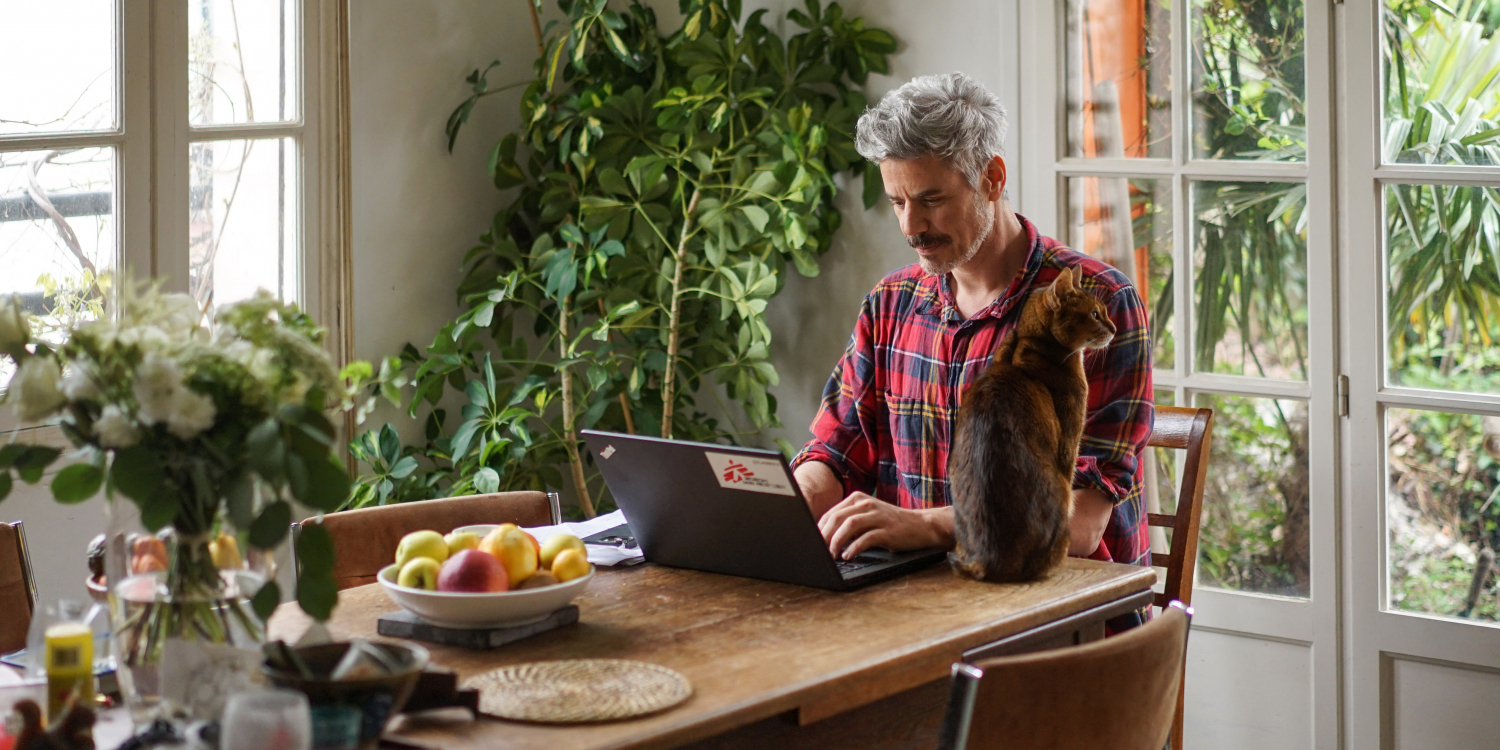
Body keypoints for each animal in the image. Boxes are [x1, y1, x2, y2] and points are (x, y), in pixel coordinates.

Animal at [948, 267, 1116, 582]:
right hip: (1061, 497)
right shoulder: (1070, 440)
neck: (1023, 345)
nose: (1113, 328)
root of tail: (987, 559)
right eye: (1095, 314)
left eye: (1104, 313)